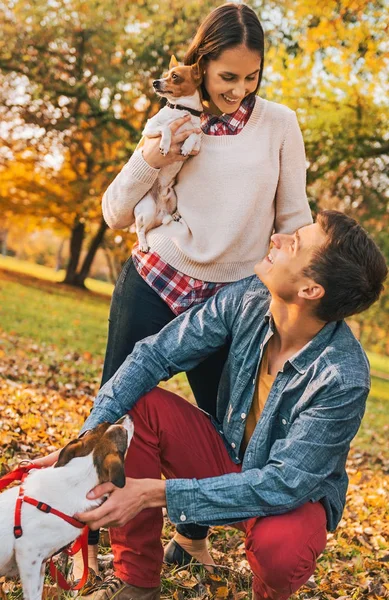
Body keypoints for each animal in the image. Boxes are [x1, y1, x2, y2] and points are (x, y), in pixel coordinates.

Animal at [0, 414, 133, 600]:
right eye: (125, 434)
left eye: (104, 423)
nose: (128, 415)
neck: (77, 479)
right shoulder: (28, 554)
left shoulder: (40, 562)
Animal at [134, 54, 203, 253]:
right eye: (165, 74)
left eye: (175, 76)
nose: (155, 82)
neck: (183, 110)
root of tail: (159, 214)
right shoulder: (149, 129)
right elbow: (166, 127)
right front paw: (165, 145)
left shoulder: (198, 140)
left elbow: (194, 135)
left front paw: (186, 147)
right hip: (146, 210)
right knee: (139, 230)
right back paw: (143, 244)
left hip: (172, 197)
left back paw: (174, 216)